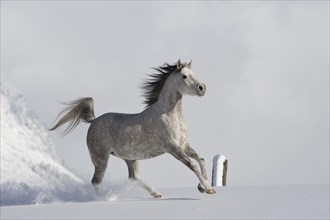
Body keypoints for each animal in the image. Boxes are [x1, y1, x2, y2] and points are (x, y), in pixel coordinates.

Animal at [48, 59, 214, 198]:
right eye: (184, 76)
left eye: (195, 74)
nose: (202, 88)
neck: (169, 114)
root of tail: (94, 121)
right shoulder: (173, 148)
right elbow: (193, 165)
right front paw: (208, 188)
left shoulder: (183, 145)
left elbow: (200, 158)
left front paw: (203, 185)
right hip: (101, 158)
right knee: (96, 181)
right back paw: (103, 198)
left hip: (130, 158)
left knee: (133, 178)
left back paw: (156, 194)